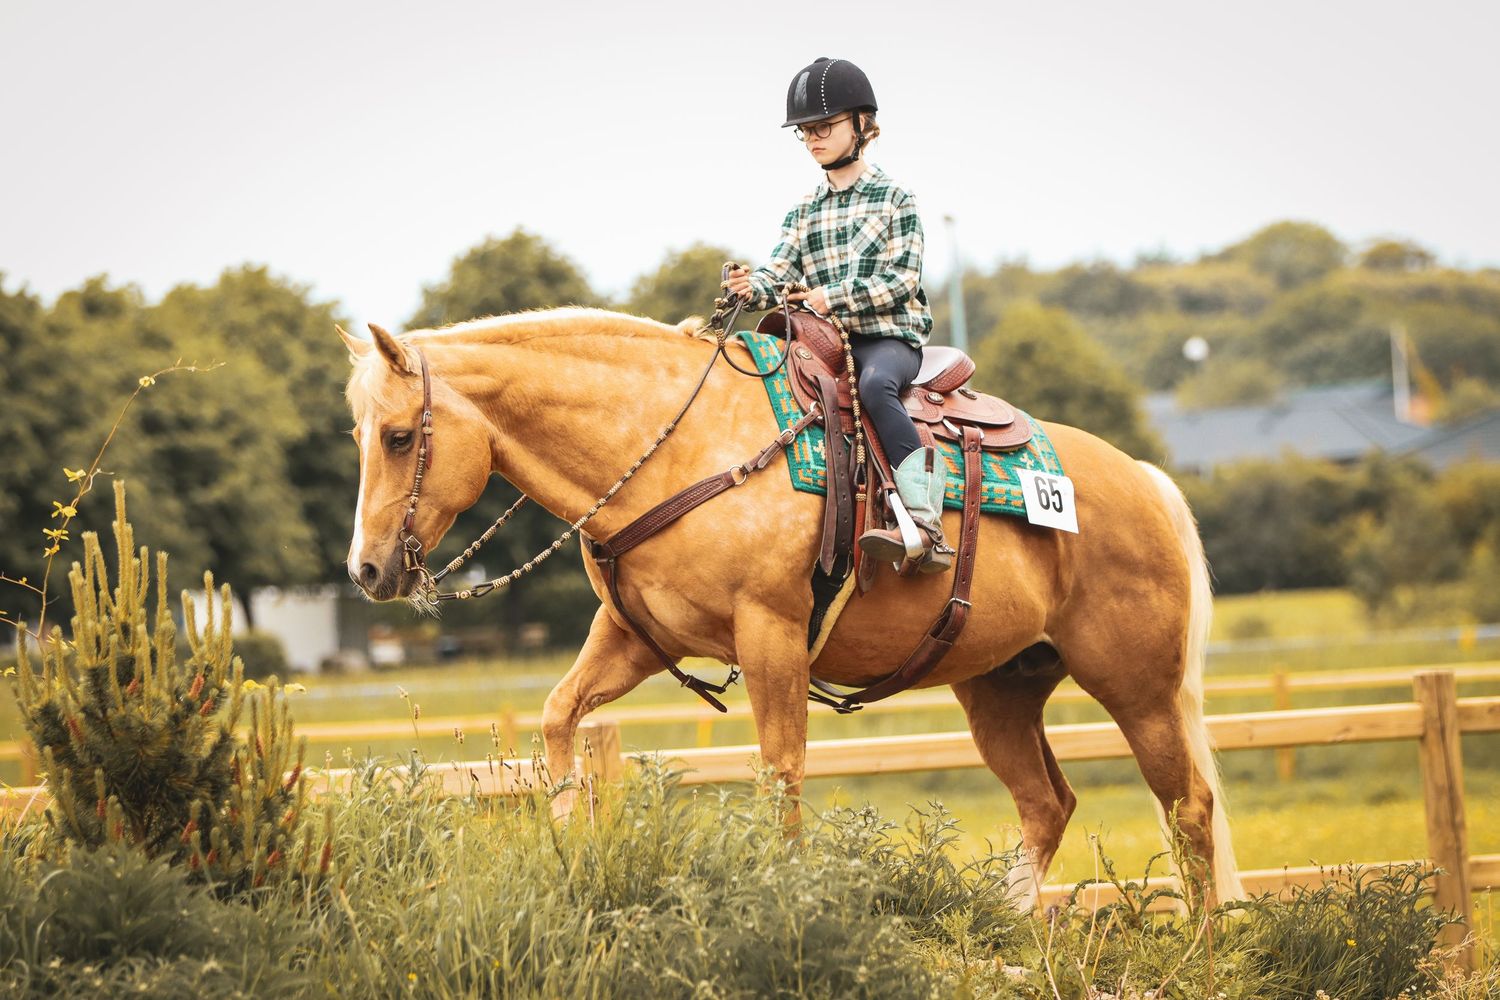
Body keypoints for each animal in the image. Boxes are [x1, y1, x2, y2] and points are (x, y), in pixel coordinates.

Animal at [340, 307, 1243, 907]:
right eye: (358, 435)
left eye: (397, 436)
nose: (368, 570)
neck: (682, 446)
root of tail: (1144, 481)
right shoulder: (630, 637)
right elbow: (559, 717)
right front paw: (570, 837)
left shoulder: (769, 635)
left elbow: (780, 775)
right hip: (1001, 688)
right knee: (1048, 805)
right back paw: (1007, 924)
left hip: (1138, 689)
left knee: (1191, 811)